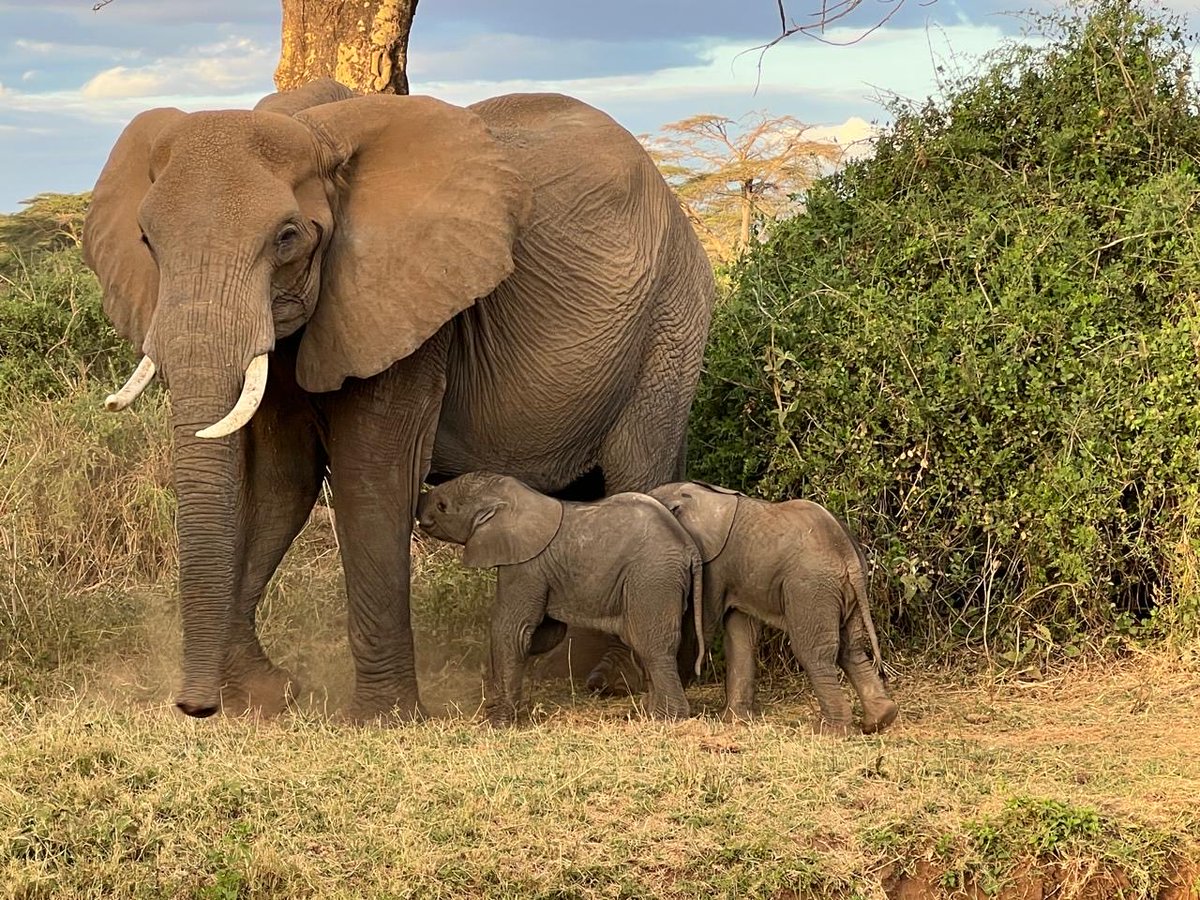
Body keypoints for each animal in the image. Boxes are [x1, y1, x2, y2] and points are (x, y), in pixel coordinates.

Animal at [416, 472, 704, 724]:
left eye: (442, 506)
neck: (519, 498)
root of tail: (688, 546)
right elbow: (546, 633)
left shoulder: (525, 566)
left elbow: (513, 630)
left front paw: (497, 722)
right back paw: (650, 712)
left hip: (652, 578)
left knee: (649, 644)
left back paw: (667, 718)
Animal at [649, 482, 899, 735]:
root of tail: (848, 555)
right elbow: (741, 636)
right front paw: (734, 721)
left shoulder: (713, 565)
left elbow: (700, 627)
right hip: (847, 592)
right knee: (851, 648)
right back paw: (881, 719)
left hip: (810, 589)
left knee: (813, 652)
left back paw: (829, 730)